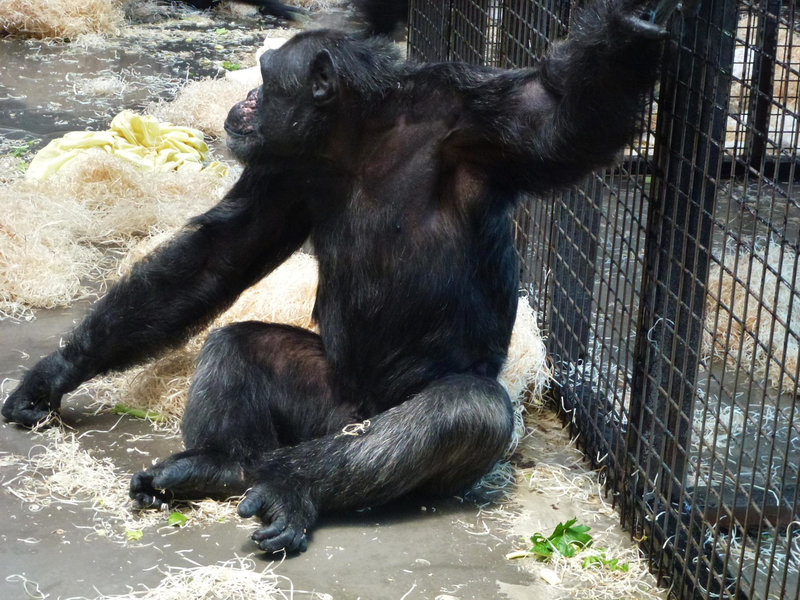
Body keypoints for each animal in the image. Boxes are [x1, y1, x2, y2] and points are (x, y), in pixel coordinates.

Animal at [4, 0, 680, 552]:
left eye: (266, 78)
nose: (243, 102)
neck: (359, 139)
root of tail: (352, 418)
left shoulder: (476, 120)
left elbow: (564, 119)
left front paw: (633, 25)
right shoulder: (282, 166)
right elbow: (219, 255)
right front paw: (53, 375)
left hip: (371, 425)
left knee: (462, 412)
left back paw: (296, 490)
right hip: (325, 402)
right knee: (239, 345)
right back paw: (216, 466)